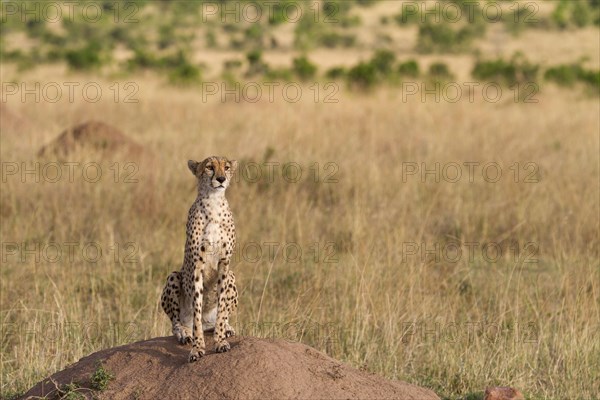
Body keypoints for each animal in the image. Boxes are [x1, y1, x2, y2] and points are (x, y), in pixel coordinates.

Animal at [163, 155, 240, 360]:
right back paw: (184, 332)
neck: (213, 203)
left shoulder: (224, 264)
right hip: (174, 276)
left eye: (226, 167)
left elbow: (222, 308)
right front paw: (197, 347)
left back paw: (226, 328)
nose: (221, 179)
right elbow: (196, 311)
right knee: (177, 321)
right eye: (209, 167)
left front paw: (220, 341)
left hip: (232, 276)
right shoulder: (197, 267)